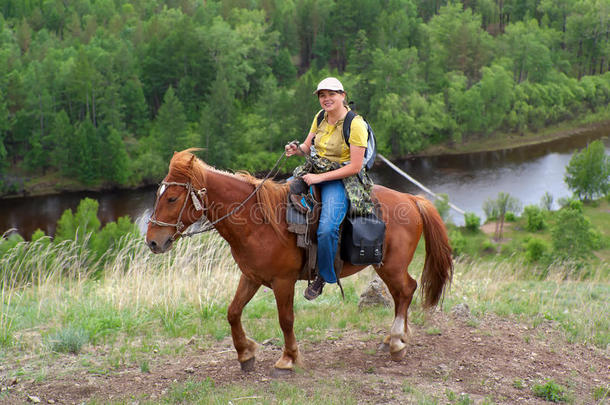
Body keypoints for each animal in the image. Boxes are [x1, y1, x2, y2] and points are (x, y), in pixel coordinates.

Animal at [146, 148, 452, 372]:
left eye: (172, 198)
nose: (152, 241)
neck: (258, 222)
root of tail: (412, 200)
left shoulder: (283, 281)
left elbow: (286, 319)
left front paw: (289, 358)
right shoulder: (251, 276)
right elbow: (233, 312)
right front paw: (246, 354)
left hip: (392, 266)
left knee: (406, 290)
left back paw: (398, 342)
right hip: (387, 267)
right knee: (402, 293)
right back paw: (394, 338)